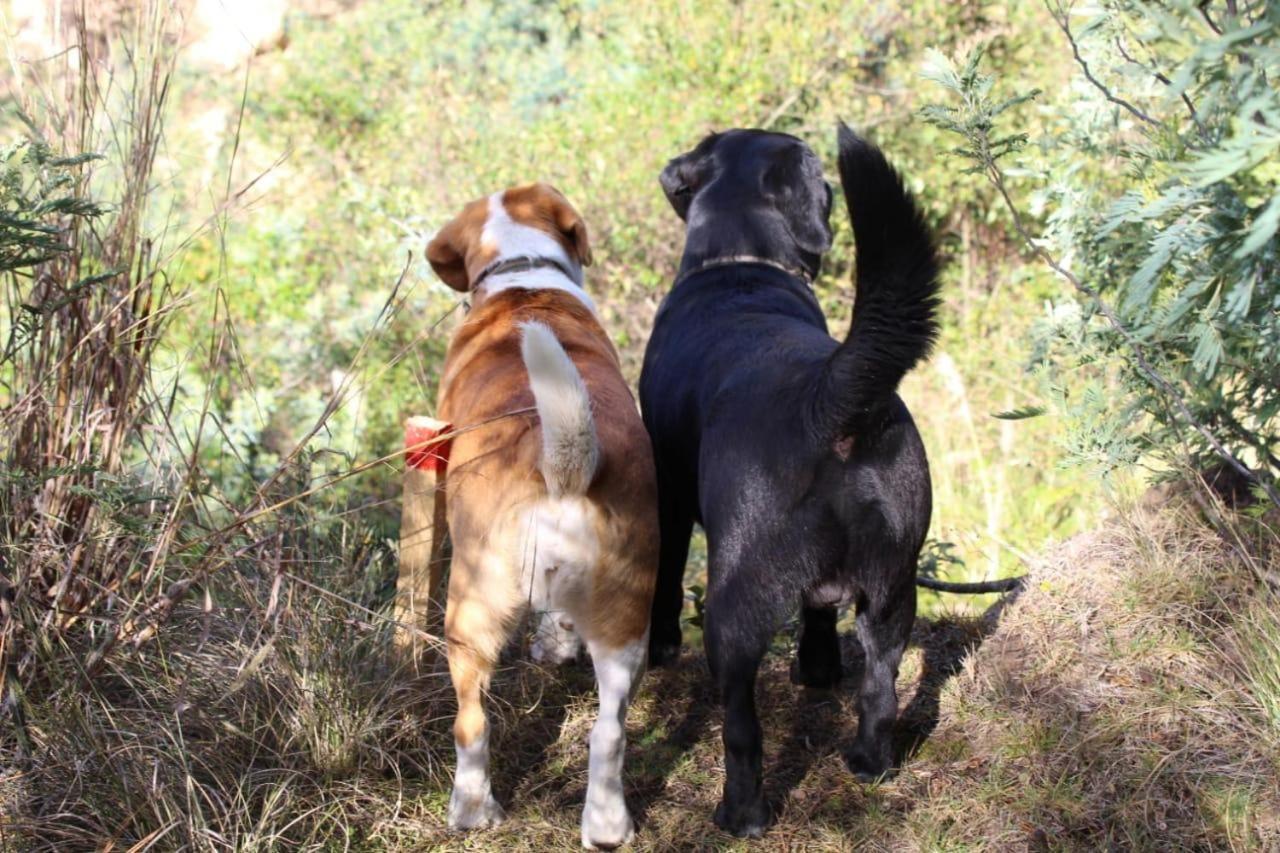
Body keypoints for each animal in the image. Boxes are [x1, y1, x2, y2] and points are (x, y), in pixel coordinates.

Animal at [424, 183, 660, 845]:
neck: (523, 276)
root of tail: (564, 467)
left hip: (469, 613)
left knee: (471, 723)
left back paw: (472, 810)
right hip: (626, 621)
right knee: (609, 733)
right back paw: (606, 825)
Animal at [640, 122, 942, 835]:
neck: (740, 263)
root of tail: (825, 401)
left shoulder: (668, 485)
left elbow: (665, 574)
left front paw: (659, 646)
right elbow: (820, 611)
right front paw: (819, 669)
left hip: (733, 601)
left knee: (741, 724)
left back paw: (741, 814)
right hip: (895, 586)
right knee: (881, 686)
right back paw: (868, 763)